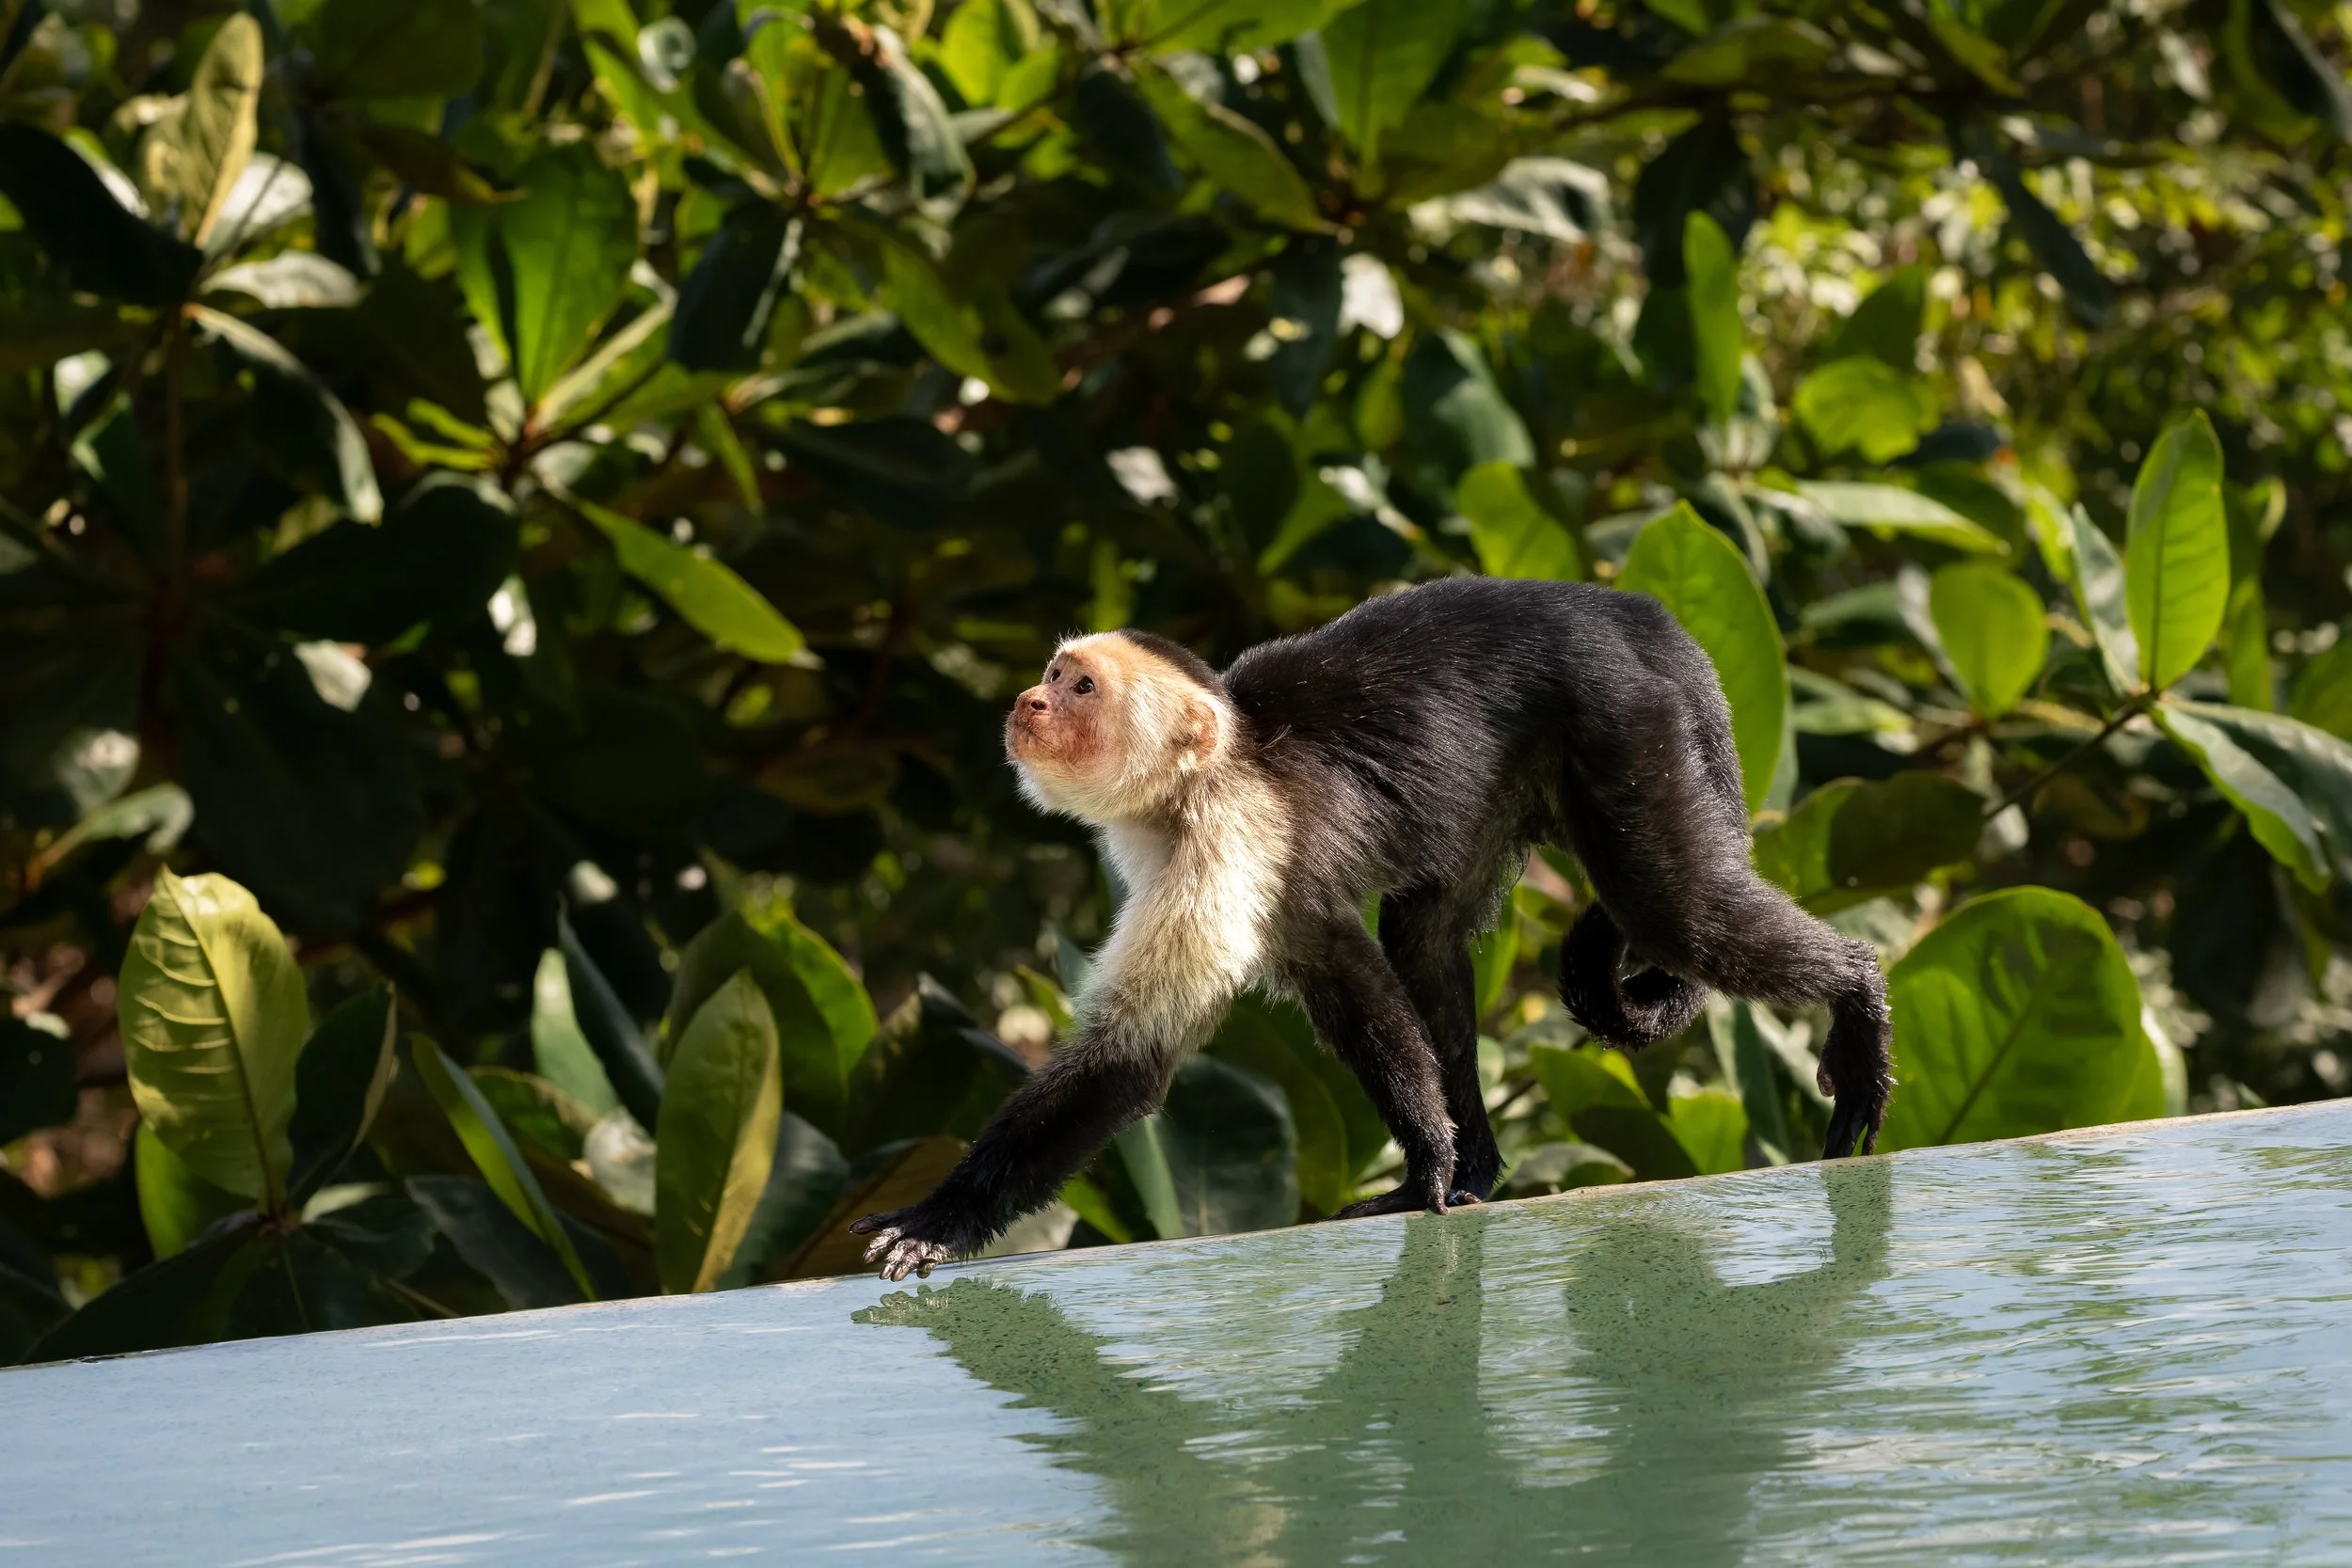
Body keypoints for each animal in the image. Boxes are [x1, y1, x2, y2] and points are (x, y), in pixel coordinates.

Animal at [852, 577, 1893, 1281]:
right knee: (1423, 938)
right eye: (1049, 674)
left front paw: (943, 1217)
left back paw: (1857, 998)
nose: (1026, 701)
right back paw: (1478, 1165)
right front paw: (1434, 1157)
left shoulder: (1232, 830)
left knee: (1670, 909)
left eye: (1080, 688)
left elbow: (1136, 1054)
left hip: (1625, 724)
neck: (1199, 778)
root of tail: (1628, 612)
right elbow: (1342, 968)